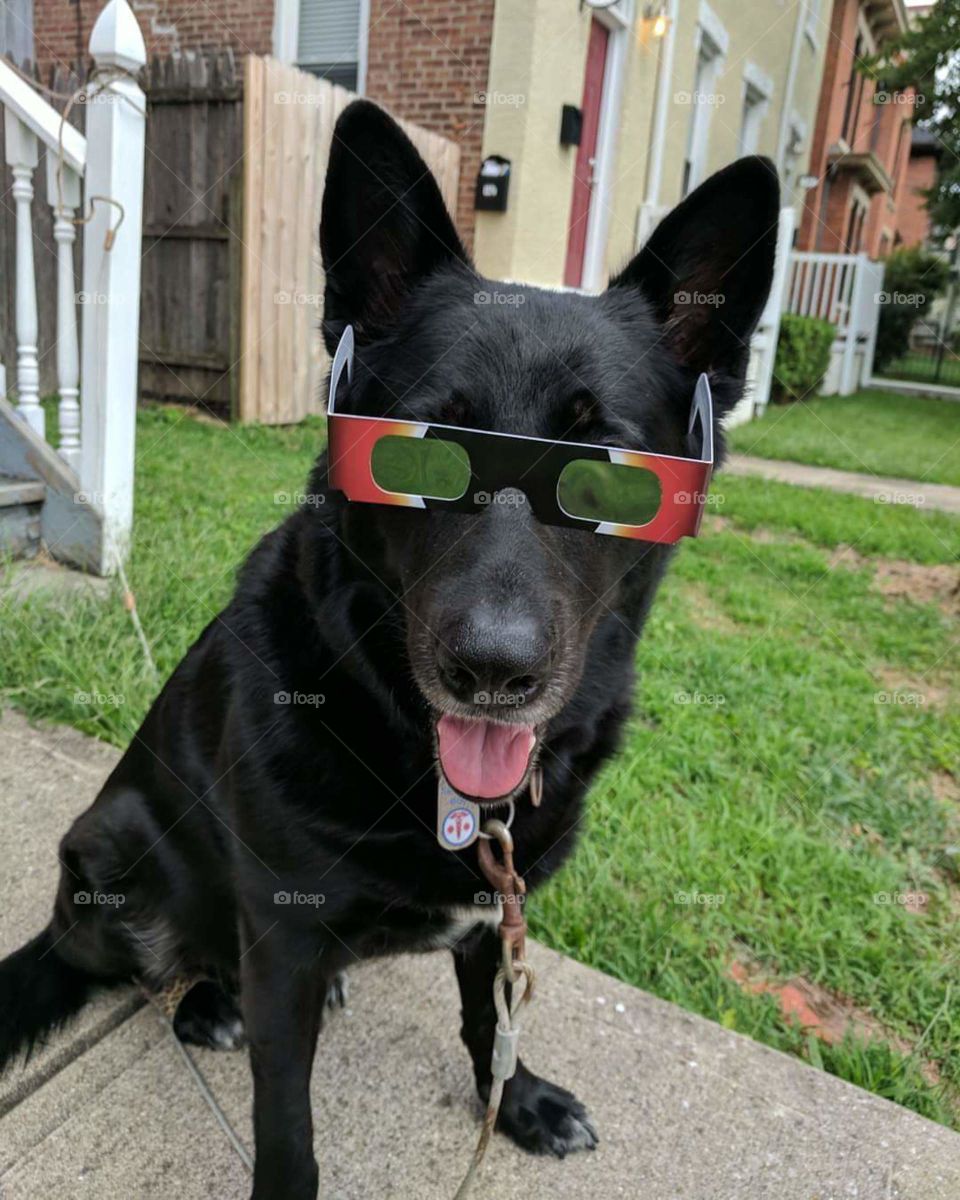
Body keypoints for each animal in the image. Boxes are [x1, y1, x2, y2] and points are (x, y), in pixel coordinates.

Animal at [0, 103, 777, 1200]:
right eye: (419, 456)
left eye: (604, 475)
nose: (492, 673)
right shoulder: (283, 940)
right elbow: (286, 1122)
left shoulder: (499, 915)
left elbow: (489, 1024)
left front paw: (519, 1101)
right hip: (114, 849)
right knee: (159, 968)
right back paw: (206, 1002)